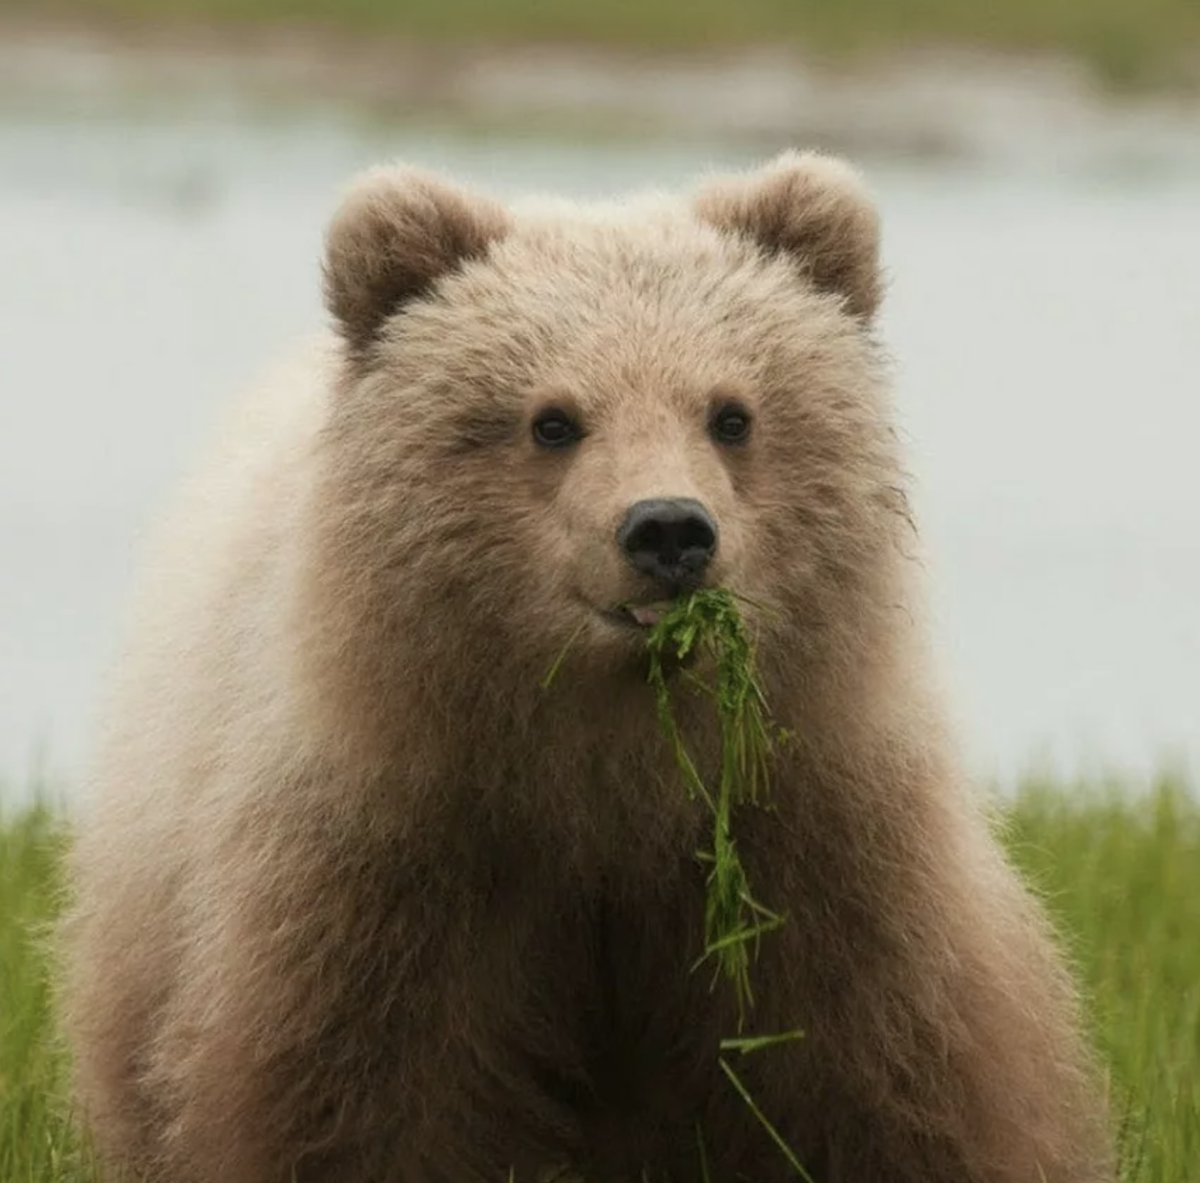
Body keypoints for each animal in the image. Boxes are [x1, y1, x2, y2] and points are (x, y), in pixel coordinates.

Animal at [58, 149, 1113, 1180]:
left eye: (731, 413)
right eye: (553, 420)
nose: (669, 529)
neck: (609, 770)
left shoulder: (812, 833)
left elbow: (889, 1074)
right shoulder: (397, 848)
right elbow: (357, 1093)